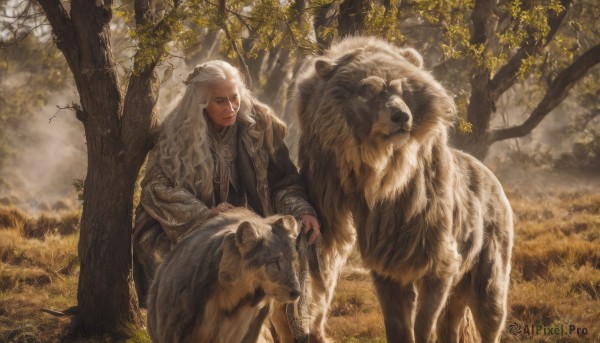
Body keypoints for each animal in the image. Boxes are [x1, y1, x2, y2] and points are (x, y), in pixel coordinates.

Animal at [292, 36, 512, 342]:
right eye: (367, 89)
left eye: (402, 89)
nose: (400, 116)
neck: (380, 171)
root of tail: (494, 178)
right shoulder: (386, 261)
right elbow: (397, 321)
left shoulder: (435, 249)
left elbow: (425, 319)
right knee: (452, 318)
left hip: (488, 262)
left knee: (490, 311)